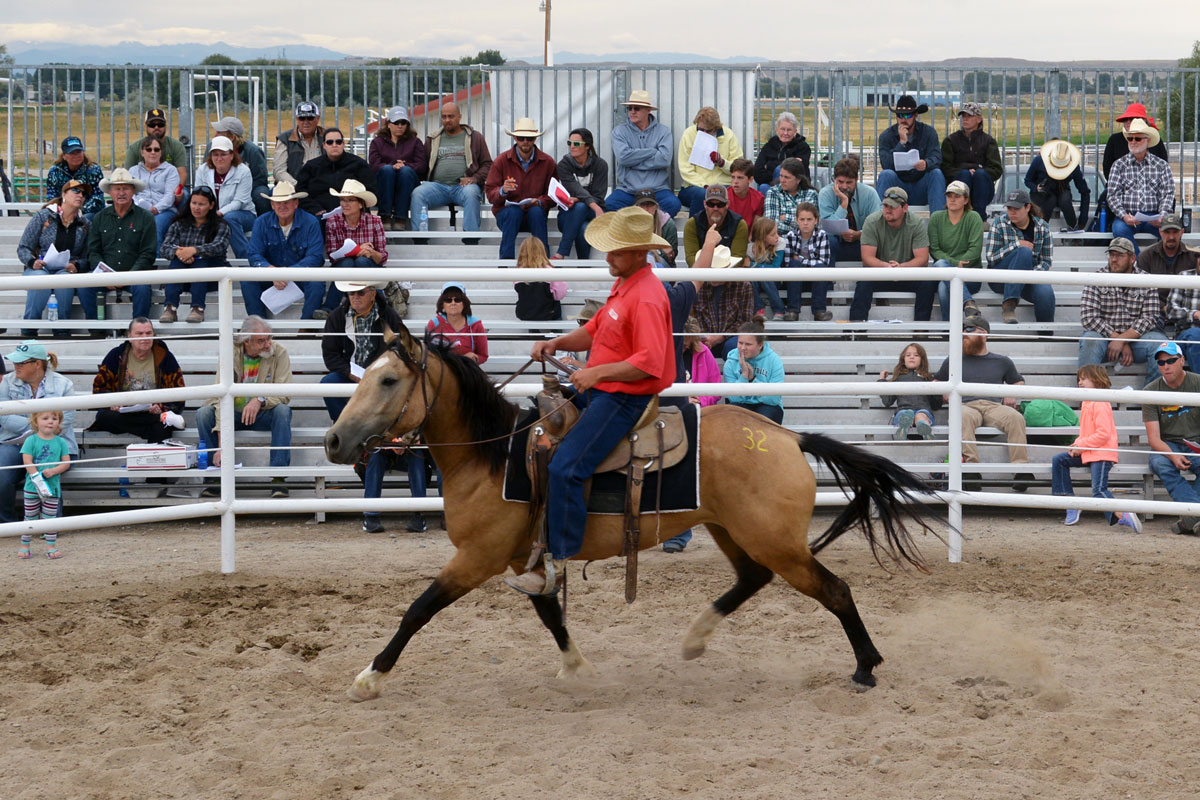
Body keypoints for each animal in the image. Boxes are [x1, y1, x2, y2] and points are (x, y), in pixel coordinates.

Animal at [323, 323, 945, 702]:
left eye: (388, 379)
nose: (333, 441)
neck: (494, 457)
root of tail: (789, 438)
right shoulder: (525, 560)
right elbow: (550, 615)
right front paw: (578, 668)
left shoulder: (477, 559)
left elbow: (418, 610)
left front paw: (369, 677)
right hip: (732, 529)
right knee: (752, 579)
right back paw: (695, 638)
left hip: (776, 541)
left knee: (834, 589)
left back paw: (865, 666)